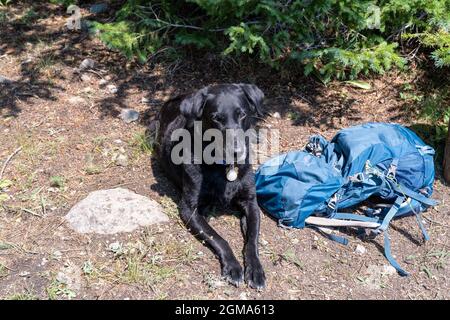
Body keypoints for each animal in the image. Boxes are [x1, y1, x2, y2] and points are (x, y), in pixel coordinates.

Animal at [154, 84, 266, 288]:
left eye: (242, 114)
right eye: (216, 118)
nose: (237, 152)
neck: (224, 167)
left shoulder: (251, 203)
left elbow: (253, 239)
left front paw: (255, 269)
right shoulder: (189, 209)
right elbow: (218, 238)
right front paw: (233, 267)